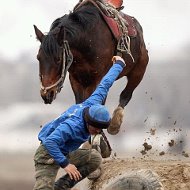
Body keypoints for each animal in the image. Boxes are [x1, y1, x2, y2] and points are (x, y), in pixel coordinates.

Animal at [34, 0, 150, 134]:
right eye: (38, 58)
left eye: (58, 59)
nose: (46, 94)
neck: (87, 40)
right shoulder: (76, 79)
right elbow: (81, 102)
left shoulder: (98, 78)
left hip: (139, 70)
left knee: (126, 95)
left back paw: (115, 123)